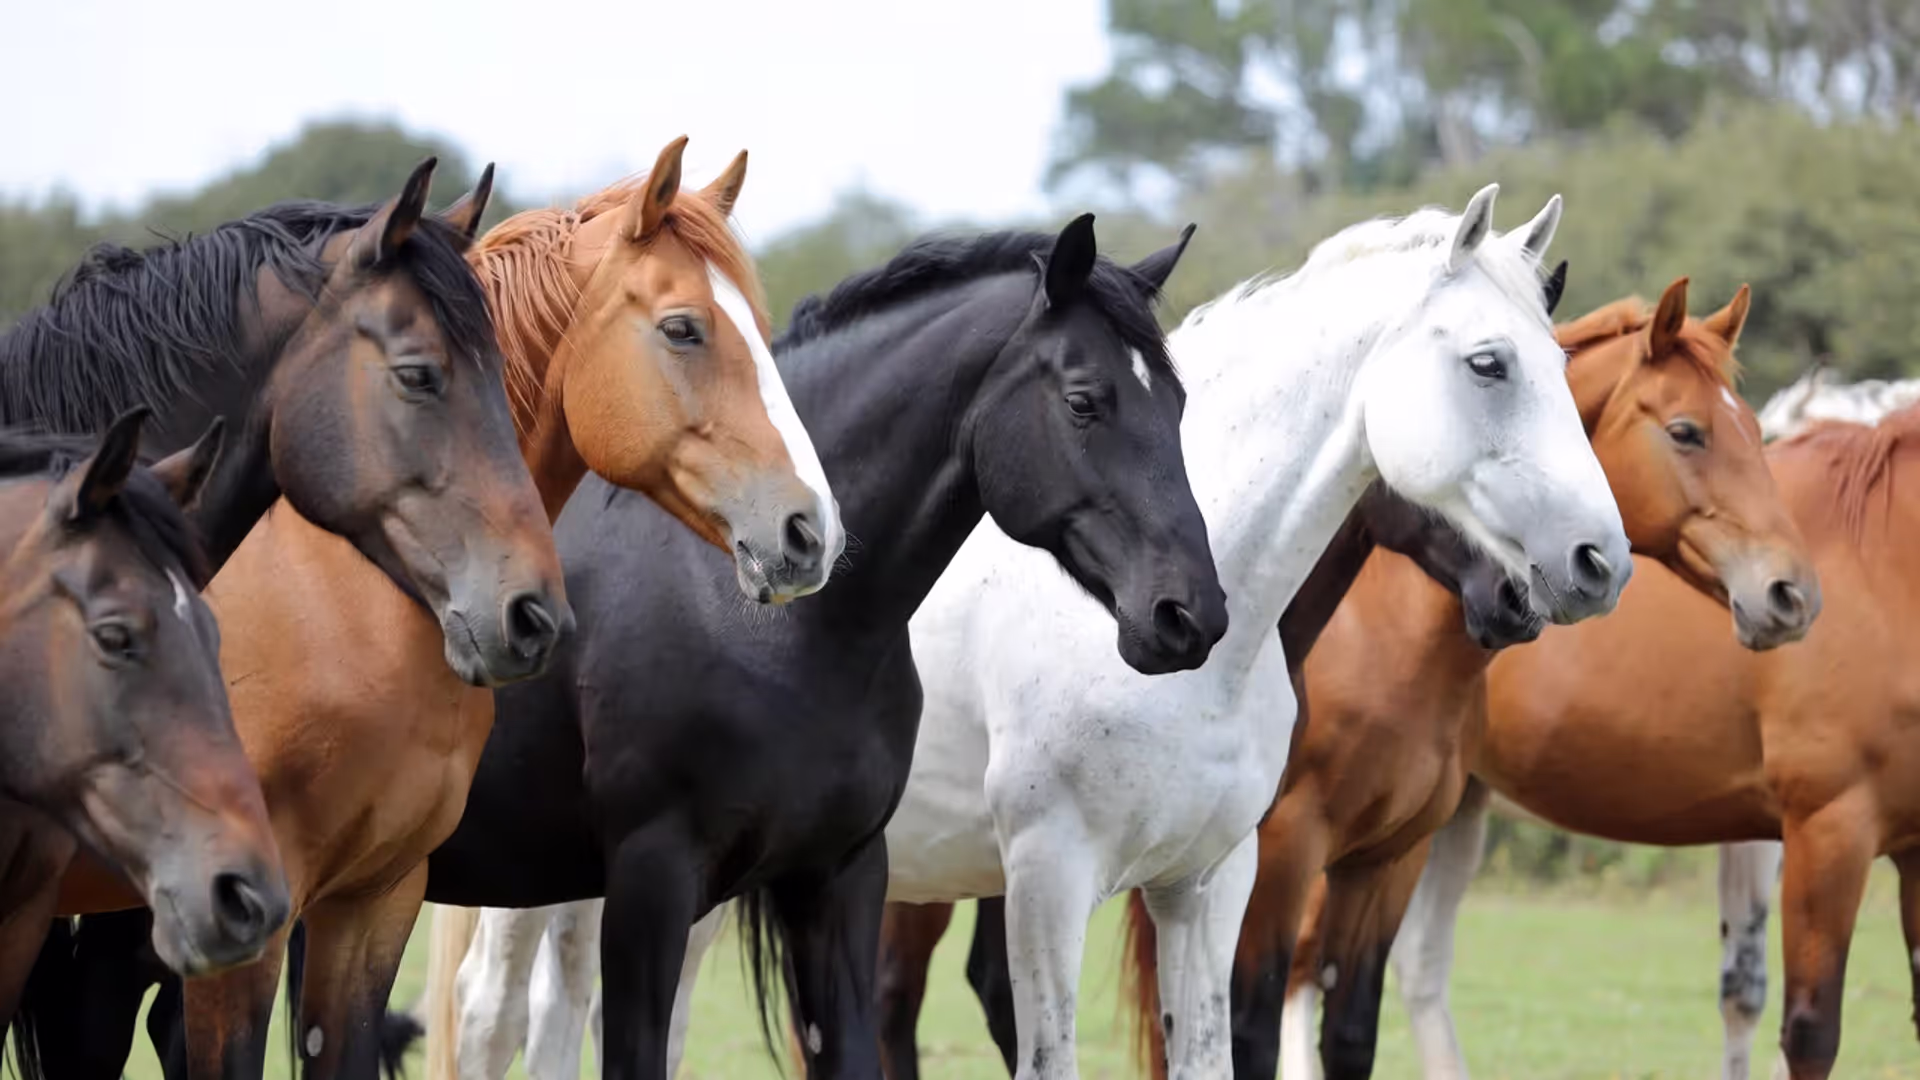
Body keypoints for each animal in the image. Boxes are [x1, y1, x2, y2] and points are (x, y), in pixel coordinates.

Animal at [418, 214, 1228, 1080]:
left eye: (1178, 403)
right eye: (1084, 402)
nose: (1192, 613)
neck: (769, 625)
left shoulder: (838, 879)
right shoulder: (650, 883)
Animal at [1362, 396, 1920, 1080]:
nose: (1790, 597)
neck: (1881, 562)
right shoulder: (1827, 827)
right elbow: (1799, 1024)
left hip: (1457, 807)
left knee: (1420, 962)